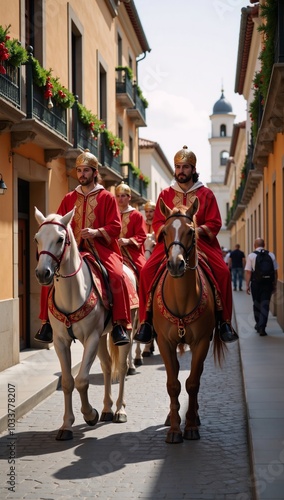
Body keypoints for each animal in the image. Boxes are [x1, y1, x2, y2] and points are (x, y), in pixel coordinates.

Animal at [33, 207, 138, 442]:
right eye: (37, 238)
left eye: (60, 239)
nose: (43, 273)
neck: (73, 292)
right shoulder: (60, 341)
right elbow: (67, 382)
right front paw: (66, 425)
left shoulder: (90, 337)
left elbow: (81, 379)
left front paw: (90, 414)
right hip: (102, 337)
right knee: (107, 366)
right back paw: (107, 408)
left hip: (126, 329)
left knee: (121, 366)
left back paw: (120, 410)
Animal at [152, 197, 225, 444]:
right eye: (164, 232)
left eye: (191, 231)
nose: (176, 264)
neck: (182, 298)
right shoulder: (164, 342)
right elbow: (173, 384)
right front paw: (175, 430)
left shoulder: (201, 342)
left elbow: (192, 383)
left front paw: (191, 426)